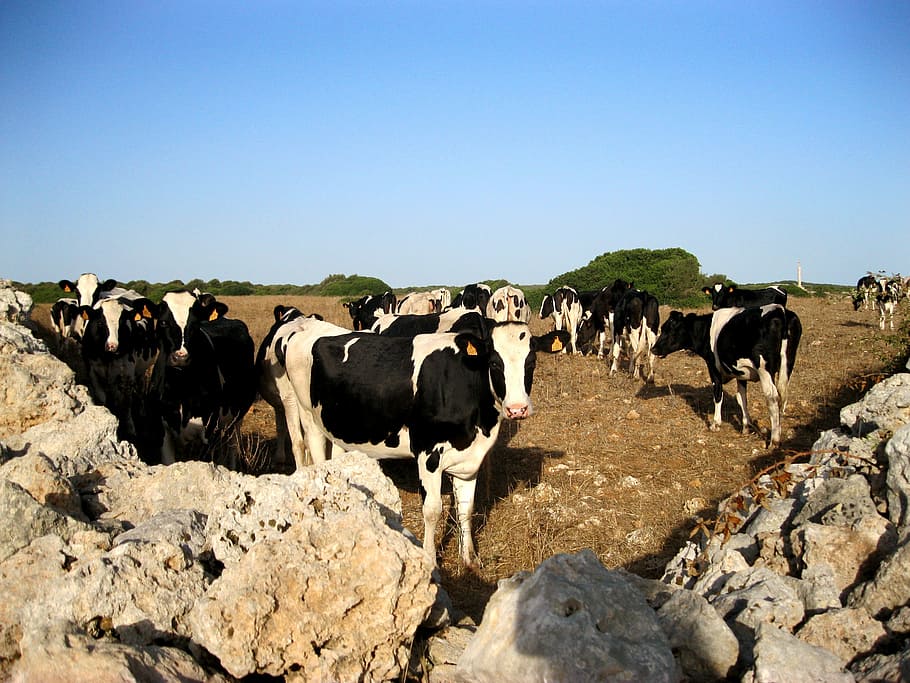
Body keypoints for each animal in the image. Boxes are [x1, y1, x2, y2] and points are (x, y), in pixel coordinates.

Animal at [145, 291, 257, 468]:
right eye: (163, 322)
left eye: (196, 324)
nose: (180, 357)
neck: (180, 387)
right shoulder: (162, 428)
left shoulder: (208, 430)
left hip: (237, 414)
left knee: (232, 444)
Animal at [260, 317, 570, 567]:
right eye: (494, 362)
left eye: (532, 361)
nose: (518, 409)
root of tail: (304, 327)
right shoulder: (427, 452)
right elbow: (432, 511)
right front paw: (431, 559)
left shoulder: (469, 459)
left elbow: (466, 508)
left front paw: (469, 558)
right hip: (305, 412)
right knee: (307, 450)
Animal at [652, 304, 802, 448]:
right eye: (662, 328)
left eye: (670, 329)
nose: (653, 349)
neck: (706, 331)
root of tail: (780, 310)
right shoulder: (741, 373)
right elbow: (741, 398)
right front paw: (745, 427)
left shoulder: (713, 367)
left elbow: (718, 394)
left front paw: (715, 424)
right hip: (788, 364)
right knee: (782, 395)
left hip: (764, 369)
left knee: (772, 396)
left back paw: (774, 440)